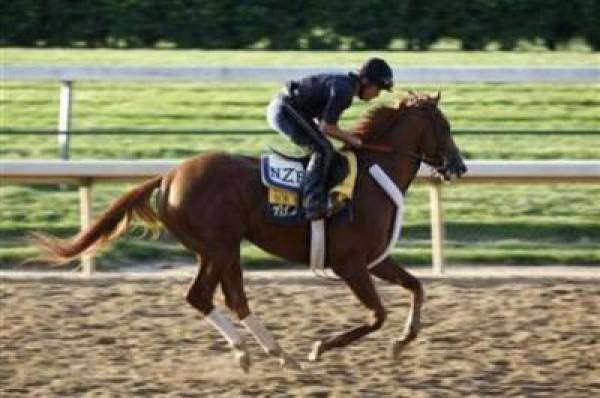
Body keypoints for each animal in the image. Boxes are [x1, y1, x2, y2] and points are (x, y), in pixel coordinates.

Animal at [30, 91, 466, 372]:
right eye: (445, 126)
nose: (459, 166)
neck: (374, 177)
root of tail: (168, 176)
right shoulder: (350, 264)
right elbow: (377, 315)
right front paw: (320, 347)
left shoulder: (375, 260)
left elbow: (417, 288)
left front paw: (402, 342)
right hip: (220, 246)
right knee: (203, 296)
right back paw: (252, 351)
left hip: (223, 248)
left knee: (232, 299)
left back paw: (274, 353)